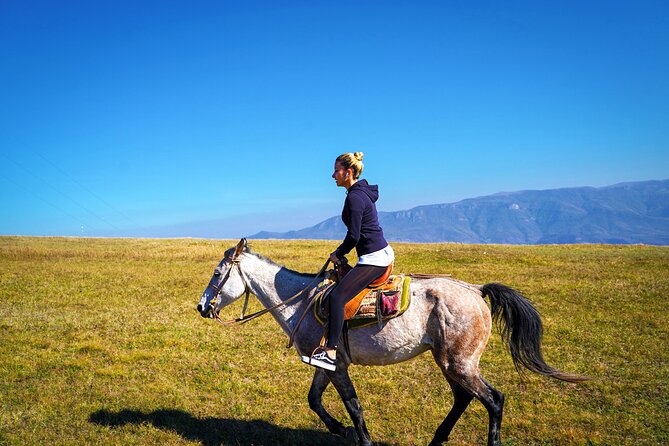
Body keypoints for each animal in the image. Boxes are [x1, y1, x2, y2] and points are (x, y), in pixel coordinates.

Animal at [197, 240, 584, 446]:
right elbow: (314, 400)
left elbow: (352, 405)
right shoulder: (326, 363)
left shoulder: (336, 366)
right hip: (449, 362)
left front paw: (360, 437)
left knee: (493, 399)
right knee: (464, 398)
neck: (300, 301)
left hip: (459, 363)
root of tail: (476, 290)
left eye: (217, 273)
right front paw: (341, 430)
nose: (202, 306)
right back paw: (436, 440)